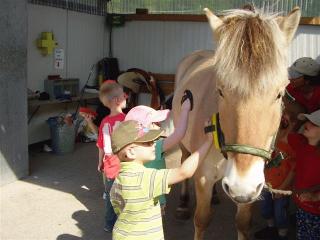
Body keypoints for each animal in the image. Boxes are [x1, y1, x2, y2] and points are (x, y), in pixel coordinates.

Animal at [172, 6, 300, 239]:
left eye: (279, 94)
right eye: (221, 91)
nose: (240, 185)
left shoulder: (252, 187)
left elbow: (243, 222)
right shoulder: (203, 177)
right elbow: (201, 220)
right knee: (184, 158)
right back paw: (183, 204)